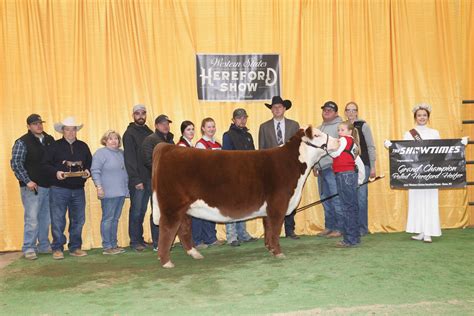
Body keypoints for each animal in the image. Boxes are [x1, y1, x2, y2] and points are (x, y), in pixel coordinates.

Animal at [151, 126, 336, 266]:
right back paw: (166, 261)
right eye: (317, 135)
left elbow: (268, 228)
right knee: (167, 230)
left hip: (183, 208)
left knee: (183, 229)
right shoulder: (278, 204)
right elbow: (276, 229)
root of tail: (168, 147)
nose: (337, 141)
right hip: (171, 207)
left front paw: (270, 248)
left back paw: (194, 253)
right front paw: (278, 252)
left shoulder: (269, 208)